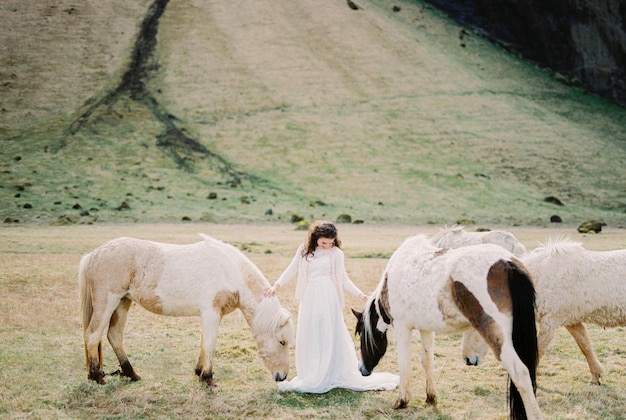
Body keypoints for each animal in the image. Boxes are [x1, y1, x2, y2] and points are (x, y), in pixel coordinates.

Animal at [78, 235, 294, 386]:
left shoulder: (210, 315)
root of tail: (94, 254)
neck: (231, 272)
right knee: (93, 335)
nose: (282, 377)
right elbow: (210, 344)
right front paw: (208, 378)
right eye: (282, 341)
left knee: (114, 336)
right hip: (108, 302)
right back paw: (97, 377)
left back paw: (131, 374)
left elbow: (203, 343)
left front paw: (199, 372)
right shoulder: (211, 313)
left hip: (123, 302)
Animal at [352, 235, 540, 418]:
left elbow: (404, 364)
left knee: (520, 373)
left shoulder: (401, 327)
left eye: (361, 334)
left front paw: (402, 401)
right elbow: (427, 361)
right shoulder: (425, 329)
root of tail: (507, 262)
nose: (362, 369)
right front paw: (431, 397)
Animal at [460, 236, 624, 384]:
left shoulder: (549, 325)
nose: (468, 360)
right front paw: (596, 377)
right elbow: (585, 346)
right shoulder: (572, 322)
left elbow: (536, 354)